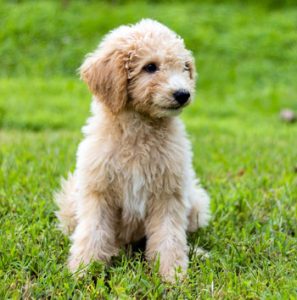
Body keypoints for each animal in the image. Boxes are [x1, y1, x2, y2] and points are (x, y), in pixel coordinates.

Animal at [54, 18, 209, 282]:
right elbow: (93, 232)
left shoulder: (169, 193)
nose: (183, 94)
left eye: (184, 67)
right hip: (70, 201)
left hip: (195, 200)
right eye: (150, 67)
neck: (139, 132)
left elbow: (169, 237)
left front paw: (172, 275)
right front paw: (83, 271)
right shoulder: (98, 190)